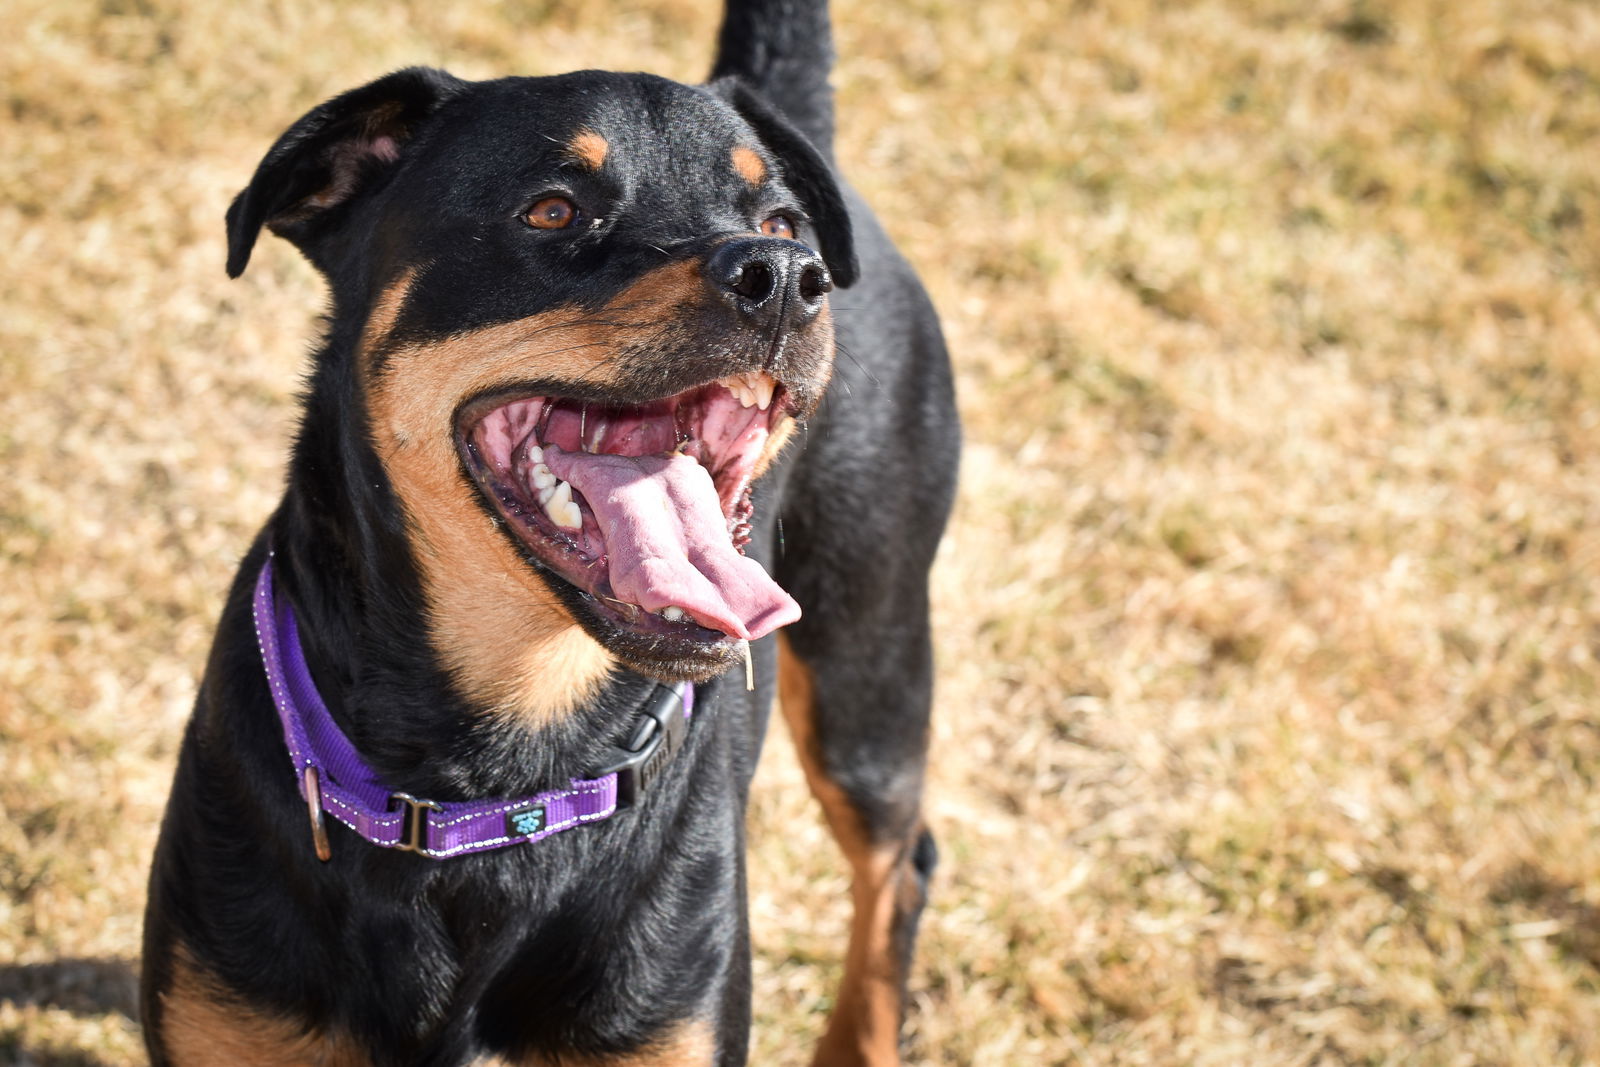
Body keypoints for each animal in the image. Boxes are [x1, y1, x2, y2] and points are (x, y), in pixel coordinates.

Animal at [140, 4, 947, 1062]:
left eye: (778, 222)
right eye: (554, 211)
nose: (785, 275)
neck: (499, 779)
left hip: (869, 663)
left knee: (900, 861)